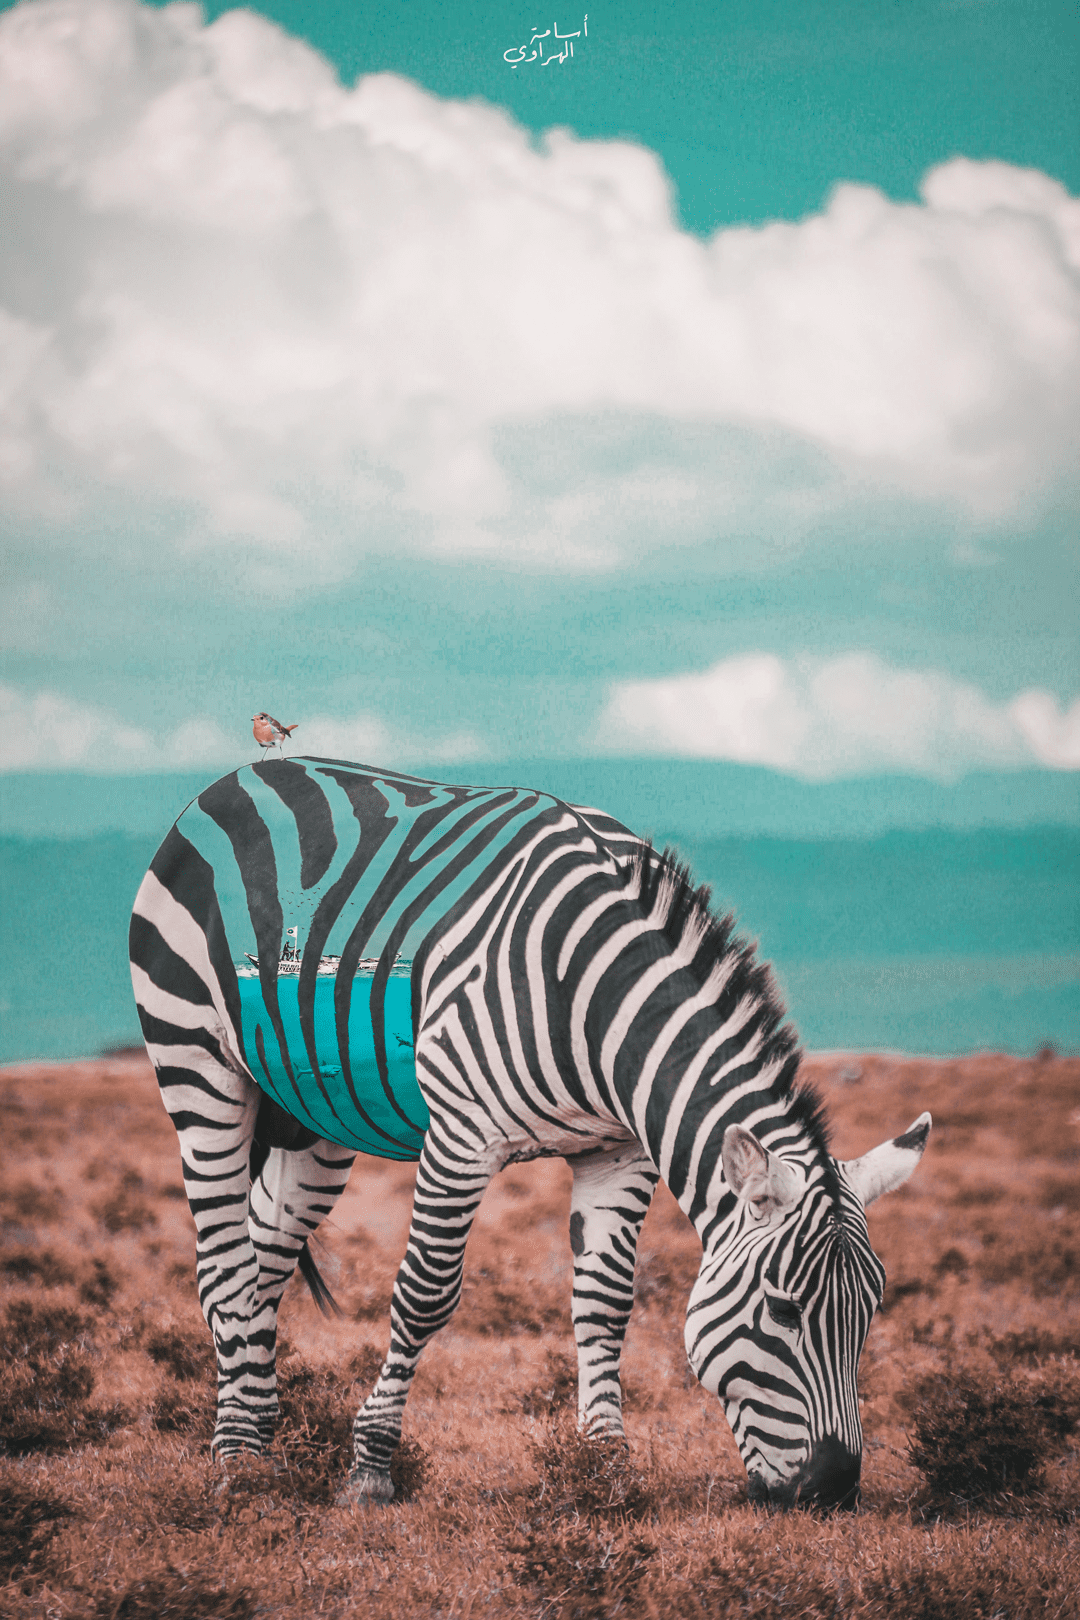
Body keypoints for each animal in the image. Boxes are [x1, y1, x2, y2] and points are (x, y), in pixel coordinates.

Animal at [129, 755, 930, 1511]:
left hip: (316, 1113)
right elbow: (424, 1295)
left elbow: (606, 1302)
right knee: (224, 1264)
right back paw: (238, 1458)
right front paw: (371, 1469)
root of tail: (241, 775)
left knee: (263, 1259)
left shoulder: (618, 1151)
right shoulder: (460, 1137)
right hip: (197, 1065)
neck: (600, 1001)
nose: (835, 1489)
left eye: (872, 1310)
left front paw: (606, 1463)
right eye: (784, 1309)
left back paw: (256, 1433)